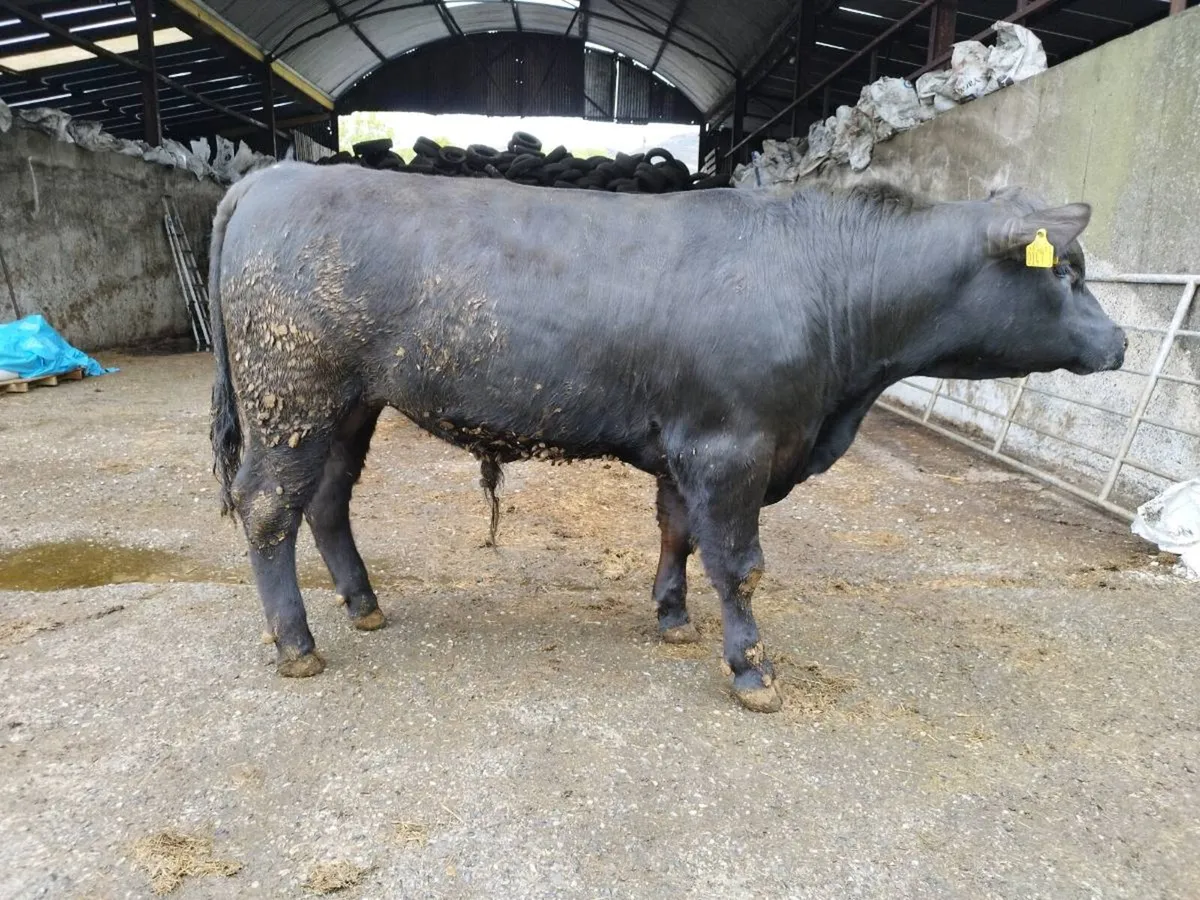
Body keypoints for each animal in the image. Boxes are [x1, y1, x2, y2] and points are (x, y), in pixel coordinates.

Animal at [208, 161, 1125, 713]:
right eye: (1067, 270)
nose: (1119, 343)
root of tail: (279, 172)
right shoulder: (733, 448)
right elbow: (742, 566)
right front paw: (751, 668)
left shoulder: (691, 446)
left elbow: (677, 532)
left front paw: (673, 616)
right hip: (291, 396)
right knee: (267, 508)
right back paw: (297, 643)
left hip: (349, 406)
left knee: (326, 501)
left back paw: (364, 603)